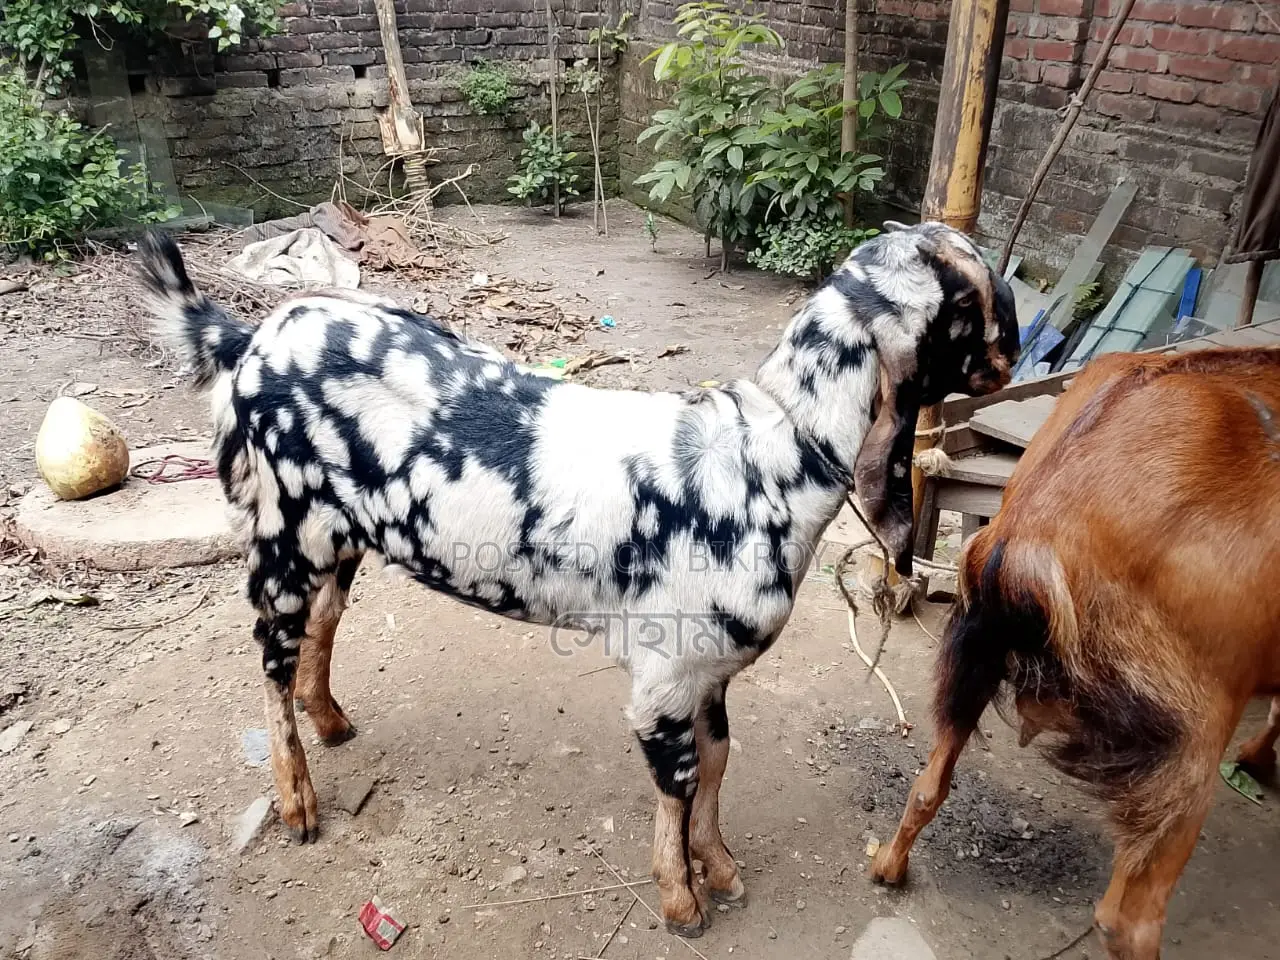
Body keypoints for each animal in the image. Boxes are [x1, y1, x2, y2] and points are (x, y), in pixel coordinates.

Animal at [138, 221, 1017, 936]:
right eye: (981, 291)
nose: (1017, 352)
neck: (769, 452)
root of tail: (246, 337)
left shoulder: (711, 672)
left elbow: (720, 764)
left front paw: (721, 869)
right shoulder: (666, 673)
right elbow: (681, 780)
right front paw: (683, 903)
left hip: (339, 536)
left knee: (322, 626)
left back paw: (331, 721)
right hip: (277, 533)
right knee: (269, 656)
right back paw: (297, 801)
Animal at [870, 347, 1280, 959]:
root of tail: (1037, 524)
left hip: (975, 662)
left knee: (927, 785)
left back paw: (888, 867)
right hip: (1193, 734)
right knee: (1125, 919)